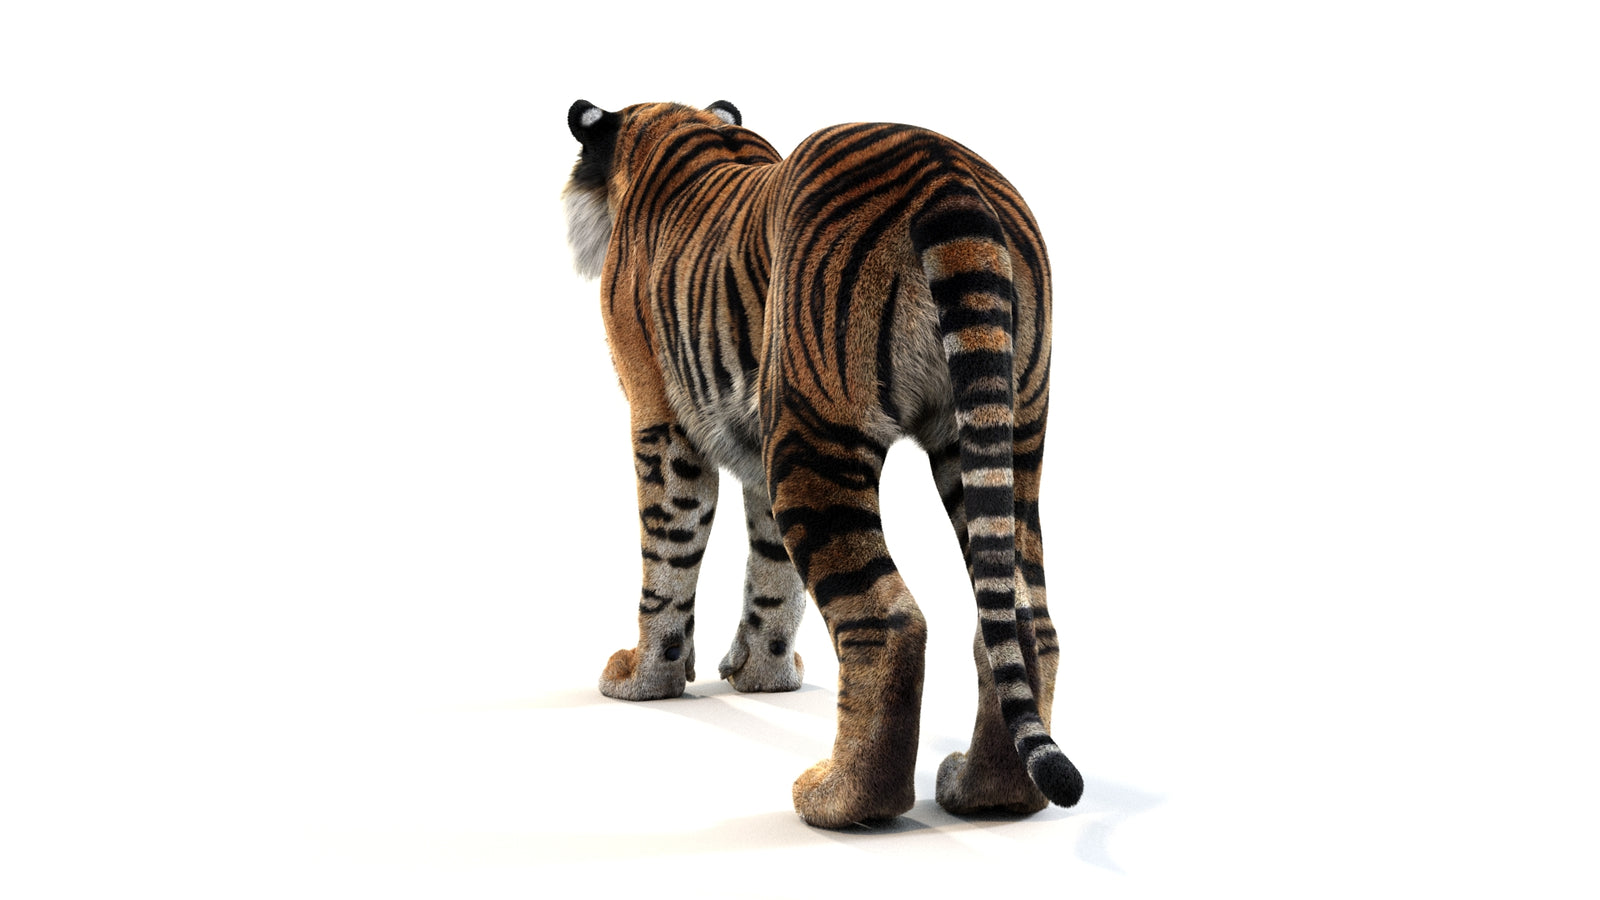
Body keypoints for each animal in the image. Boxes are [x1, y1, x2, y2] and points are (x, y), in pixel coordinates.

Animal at [562, 99, 1082, 828]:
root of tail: (947, 173)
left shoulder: (661, 418)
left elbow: (668, 555)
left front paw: (645, 678)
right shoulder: (757, 439)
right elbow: (771, 571)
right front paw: (763, 675)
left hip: (814, 429)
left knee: (889, 621)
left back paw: (838, 799)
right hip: (1004, 437)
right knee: (1024, 619)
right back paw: (987, 793)